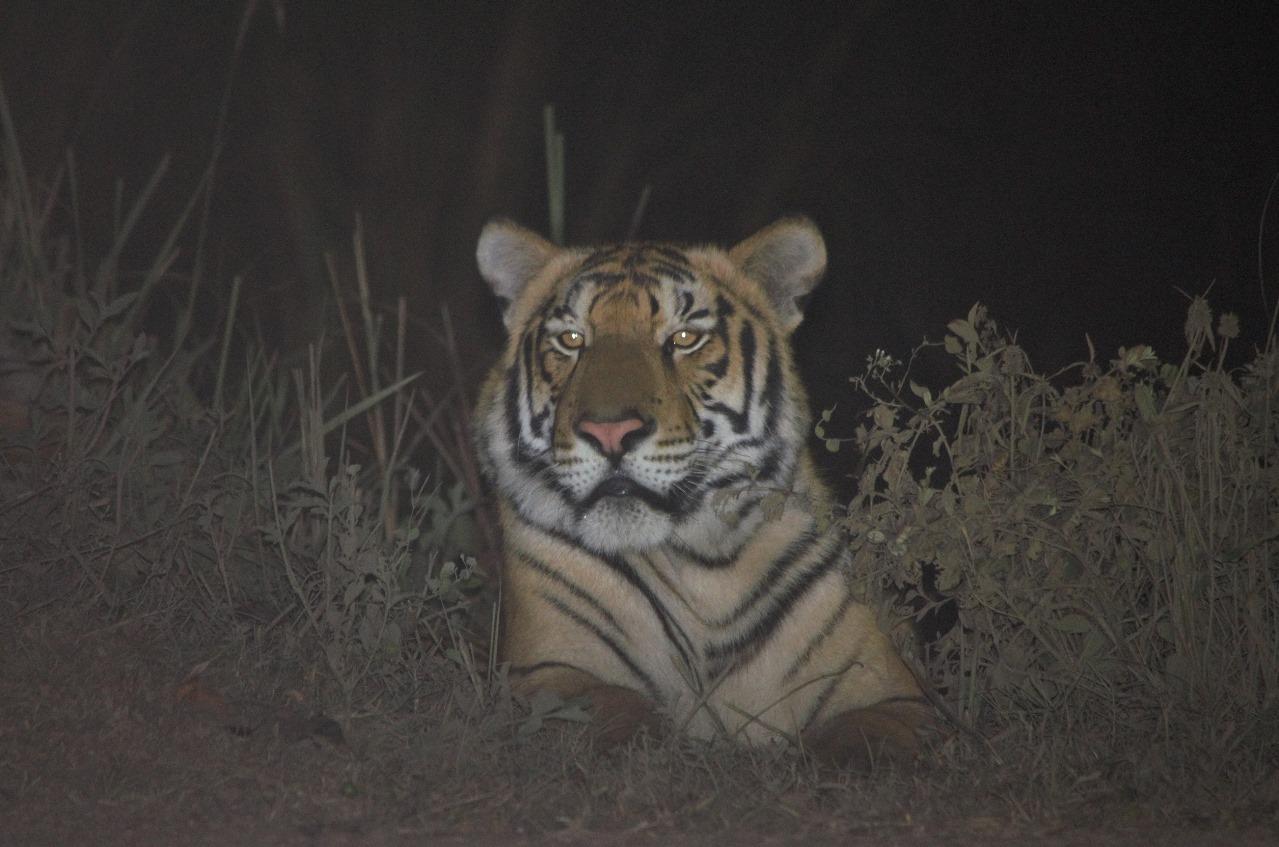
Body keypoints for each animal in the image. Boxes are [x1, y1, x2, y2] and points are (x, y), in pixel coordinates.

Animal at [473, 217, 932, 765]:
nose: (609, 432)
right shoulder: (547, 671)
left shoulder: (894, 692)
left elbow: (867, 737)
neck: (700, 564)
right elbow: (613, 713)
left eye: (684, 338)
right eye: (572, 339)